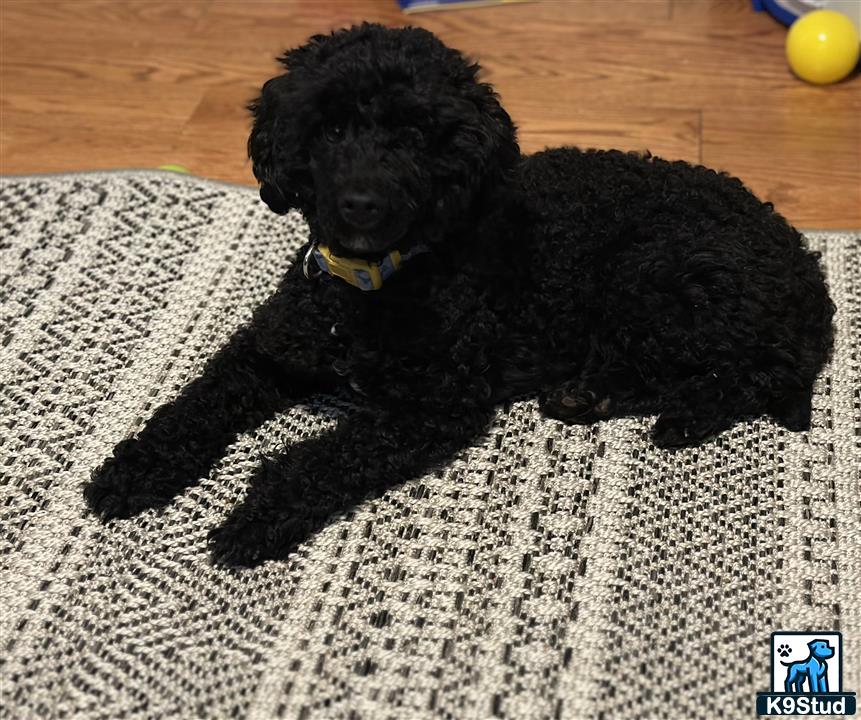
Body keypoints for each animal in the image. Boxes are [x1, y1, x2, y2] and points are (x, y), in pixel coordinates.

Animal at [84, 22, 828, 564]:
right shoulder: (272, 347)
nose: (360, 204)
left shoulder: (435, 405)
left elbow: (319, 457)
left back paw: (678, 414)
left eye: (416, 134)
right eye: (329, 127)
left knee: (745, 375)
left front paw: (256, 516)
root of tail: (803, 260)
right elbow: (195, 405)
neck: (370, 289)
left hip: (659, 282)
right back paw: (589, 394)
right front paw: (134, 469)